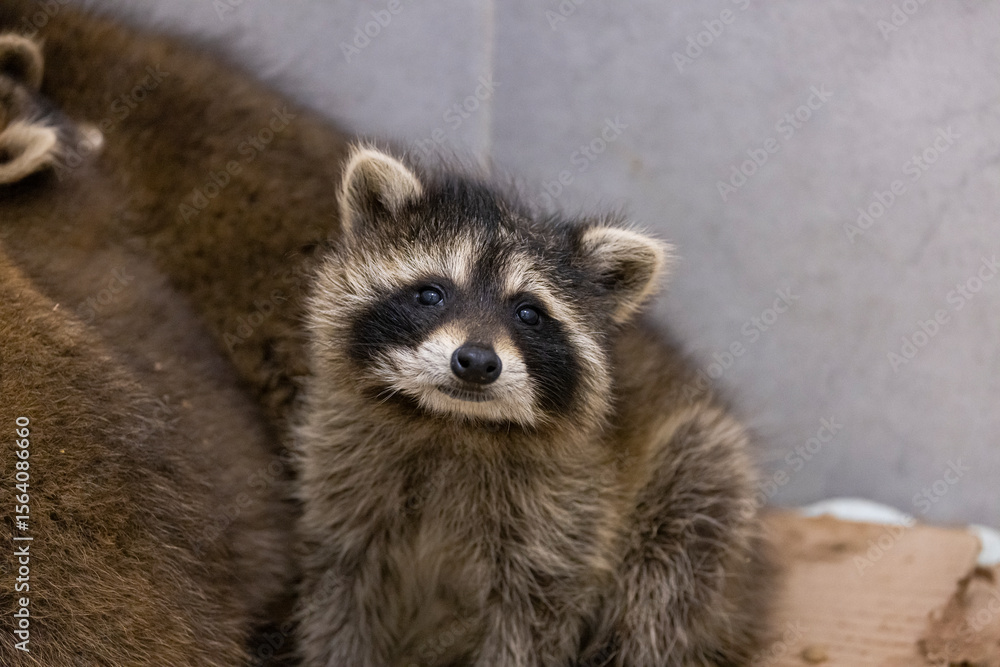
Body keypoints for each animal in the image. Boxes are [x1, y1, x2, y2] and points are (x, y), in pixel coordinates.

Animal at [295, 146, 776, 667]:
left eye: (528, 313)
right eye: (431, 293)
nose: (476, 362)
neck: (453, 421)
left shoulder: (568, 512)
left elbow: (533, 623)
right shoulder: (346, 478)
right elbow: (340, 595)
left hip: (700, 470)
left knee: (667, 582)